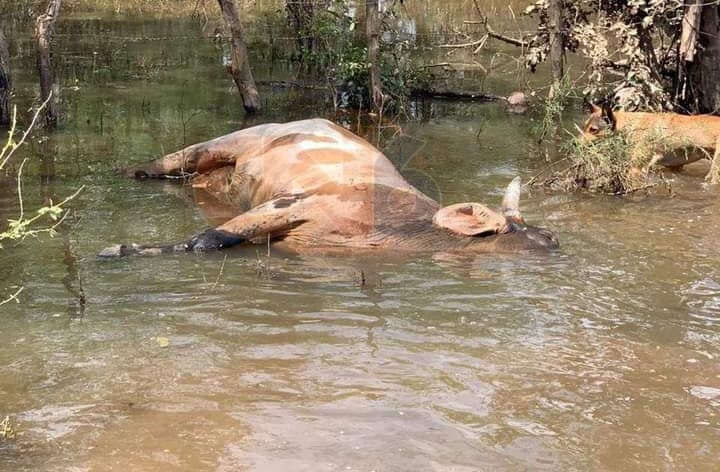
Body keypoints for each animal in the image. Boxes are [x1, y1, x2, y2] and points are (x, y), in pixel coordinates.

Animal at [98, 118, 560, 258]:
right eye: (511, 233)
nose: (554, 240)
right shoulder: (291, 204)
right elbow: (207, 240)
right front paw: (122, 249)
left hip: (216, 178)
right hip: (228, 141)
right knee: (169, 161)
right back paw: (126, 169)